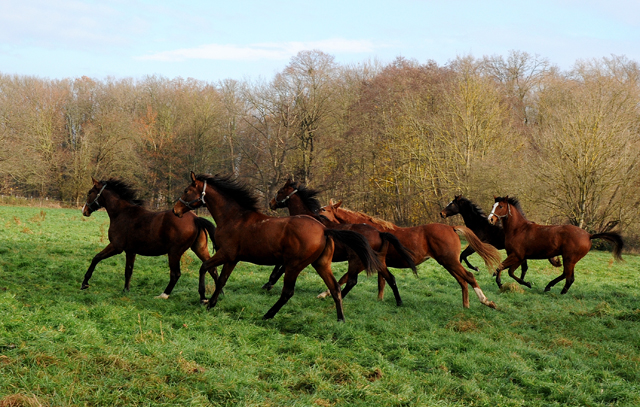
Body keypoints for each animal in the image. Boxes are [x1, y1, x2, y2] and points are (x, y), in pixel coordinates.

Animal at [81, 178, 218, 302]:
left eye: (89, 192)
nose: (84, 211)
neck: (122, 213)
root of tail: (195, 219)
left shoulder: (116, 246)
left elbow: (96, 258)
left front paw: (85, 283)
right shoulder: (130, 251)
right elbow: (128, 270)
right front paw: (126, 290)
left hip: (174, 252)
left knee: (176, 274)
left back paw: (164, 295)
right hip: (199, 249)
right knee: (212, 269)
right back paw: (213, 296)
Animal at [170, 172, 382, 322]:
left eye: (187, 190)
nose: (175, 210)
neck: (234, 218)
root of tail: (324, 229)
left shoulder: (226, 254)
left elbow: (206, 269)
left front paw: (203, 298)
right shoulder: (233, 258)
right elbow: (219, 278)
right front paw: (210, 302)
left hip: (296, 266)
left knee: (288, 292)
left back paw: (267, 314)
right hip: (321, 264)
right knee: (336, 287)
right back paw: (340, 319)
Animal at [264, 179, 418, 306]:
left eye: (280, 191)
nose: (271, 203)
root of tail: (379, 233)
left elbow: (281, 267)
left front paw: (269, 283)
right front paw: (269, 283)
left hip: (357, 260)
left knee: (352, 281)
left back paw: (337, 299)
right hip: (378, 260)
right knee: (390, 278)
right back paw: (399, 302)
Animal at [320, 201, 500, 310]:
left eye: (324, 210)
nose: (317, 216)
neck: (372, 231)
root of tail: (452, 228)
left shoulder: (363, 261)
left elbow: (345, 278)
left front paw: (325, 294)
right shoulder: (380, 264)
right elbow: (382, 283)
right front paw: (381, 299)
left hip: (450, 261)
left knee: (469, 276)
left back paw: (486, 301)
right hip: (448, 263)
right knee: (462, 281)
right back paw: (466, 305)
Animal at [488, 197, 624, 294]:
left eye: (500, 206)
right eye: (493, 205)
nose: (491, 219)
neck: (518, 229)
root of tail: (588, 235)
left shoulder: (517, 255)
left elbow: (505, 269)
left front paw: (521, 284)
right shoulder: (518, 257)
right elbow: (507, 269)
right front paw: (502, 282)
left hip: (569, 258)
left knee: (569, 277)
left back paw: (560, 292)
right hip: (570, 259)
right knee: (567, 275)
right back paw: (549, 287)